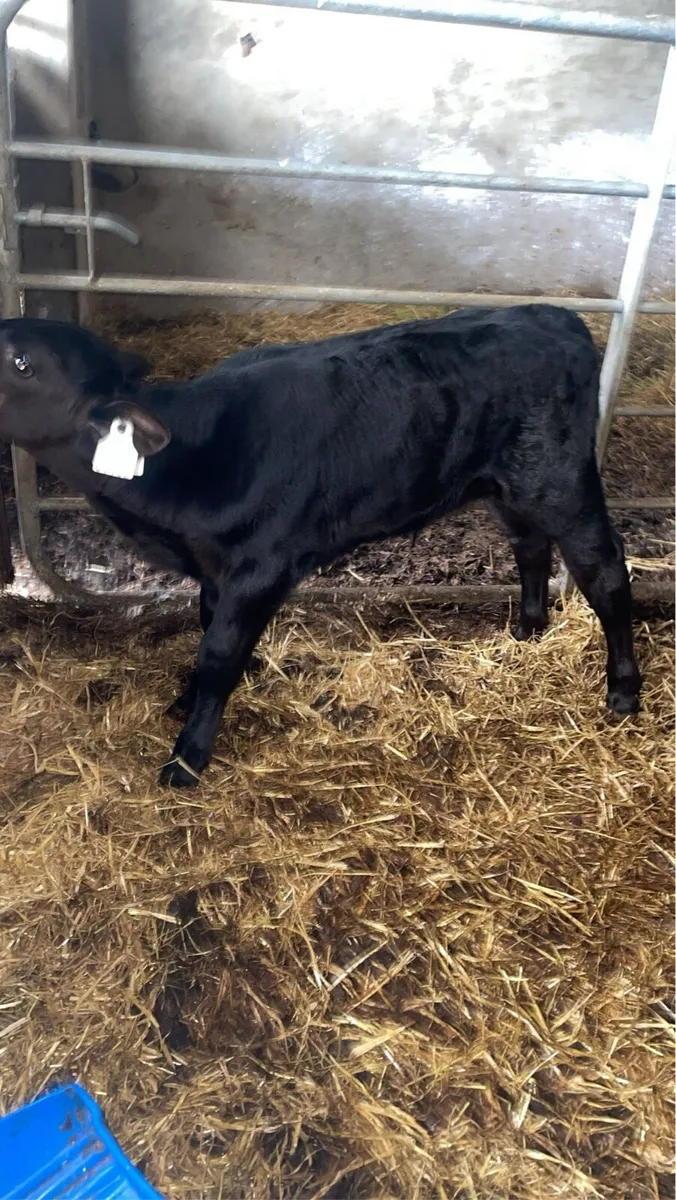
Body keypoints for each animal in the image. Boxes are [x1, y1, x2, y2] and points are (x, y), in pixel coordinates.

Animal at [0, 305, 641, 788]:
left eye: (23, 362)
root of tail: (549, 314)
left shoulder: (262, 566)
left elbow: (218, 654)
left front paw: (187, 757)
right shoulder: (214, 567)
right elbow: (208, 632)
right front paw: (192, 699)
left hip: (560, 479)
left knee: (605, 572)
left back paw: (623, 690)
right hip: (504, 483)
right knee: (528, 545)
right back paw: (527, 629)